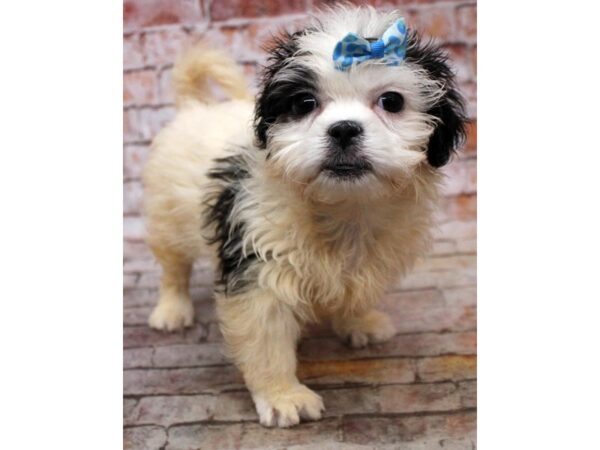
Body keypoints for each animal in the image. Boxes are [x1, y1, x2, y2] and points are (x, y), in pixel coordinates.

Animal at [143, 6, 466, 428]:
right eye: (304, 103)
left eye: (392, 101)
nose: (344, 129)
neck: (344, 209)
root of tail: (194, 107)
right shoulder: (259, 268)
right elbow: (266, 341)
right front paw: (283, 396)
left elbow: (357, 293)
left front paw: (359, 321)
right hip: (166, 213)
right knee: (173, 266)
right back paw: (172, 309)